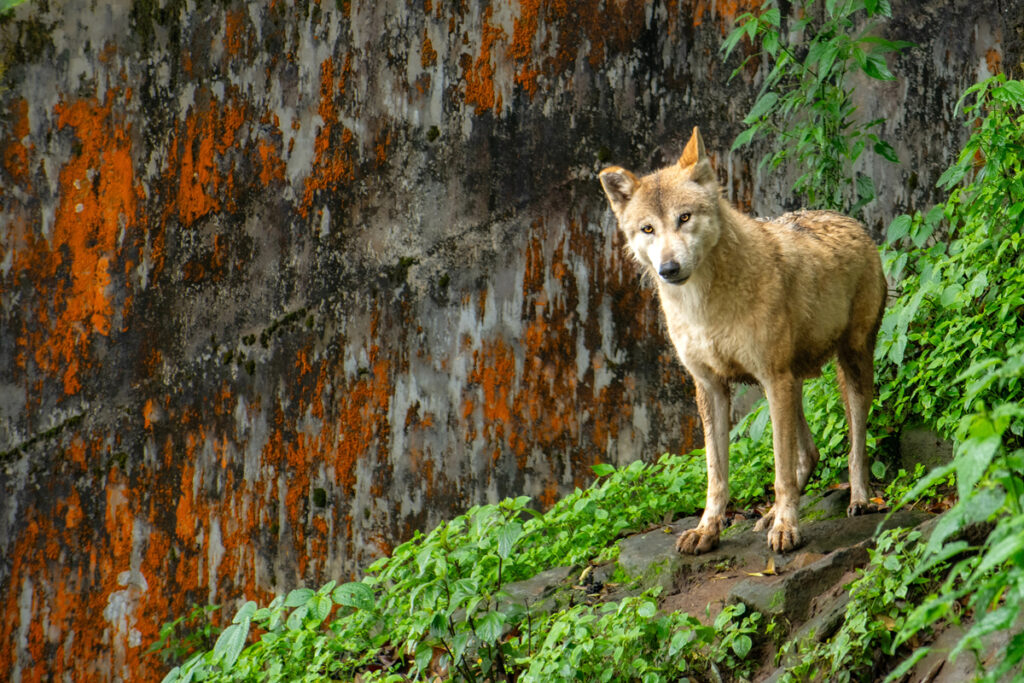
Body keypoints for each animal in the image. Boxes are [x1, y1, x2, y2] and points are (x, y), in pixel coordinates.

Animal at [599, 127, 886, 554]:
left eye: (684, 218)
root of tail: (850, 219)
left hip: (845, 369)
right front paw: (707, 530)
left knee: (854, 445)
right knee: (810, 452)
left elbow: (780, 472)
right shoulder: (711, 387)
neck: (704, 308)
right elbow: (716, 474)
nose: (669, 269)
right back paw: (768, 515)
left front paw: (786, 529)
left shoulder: (773, 377)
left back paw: (859, 500)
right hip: (788, 384)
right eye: (648, 229)